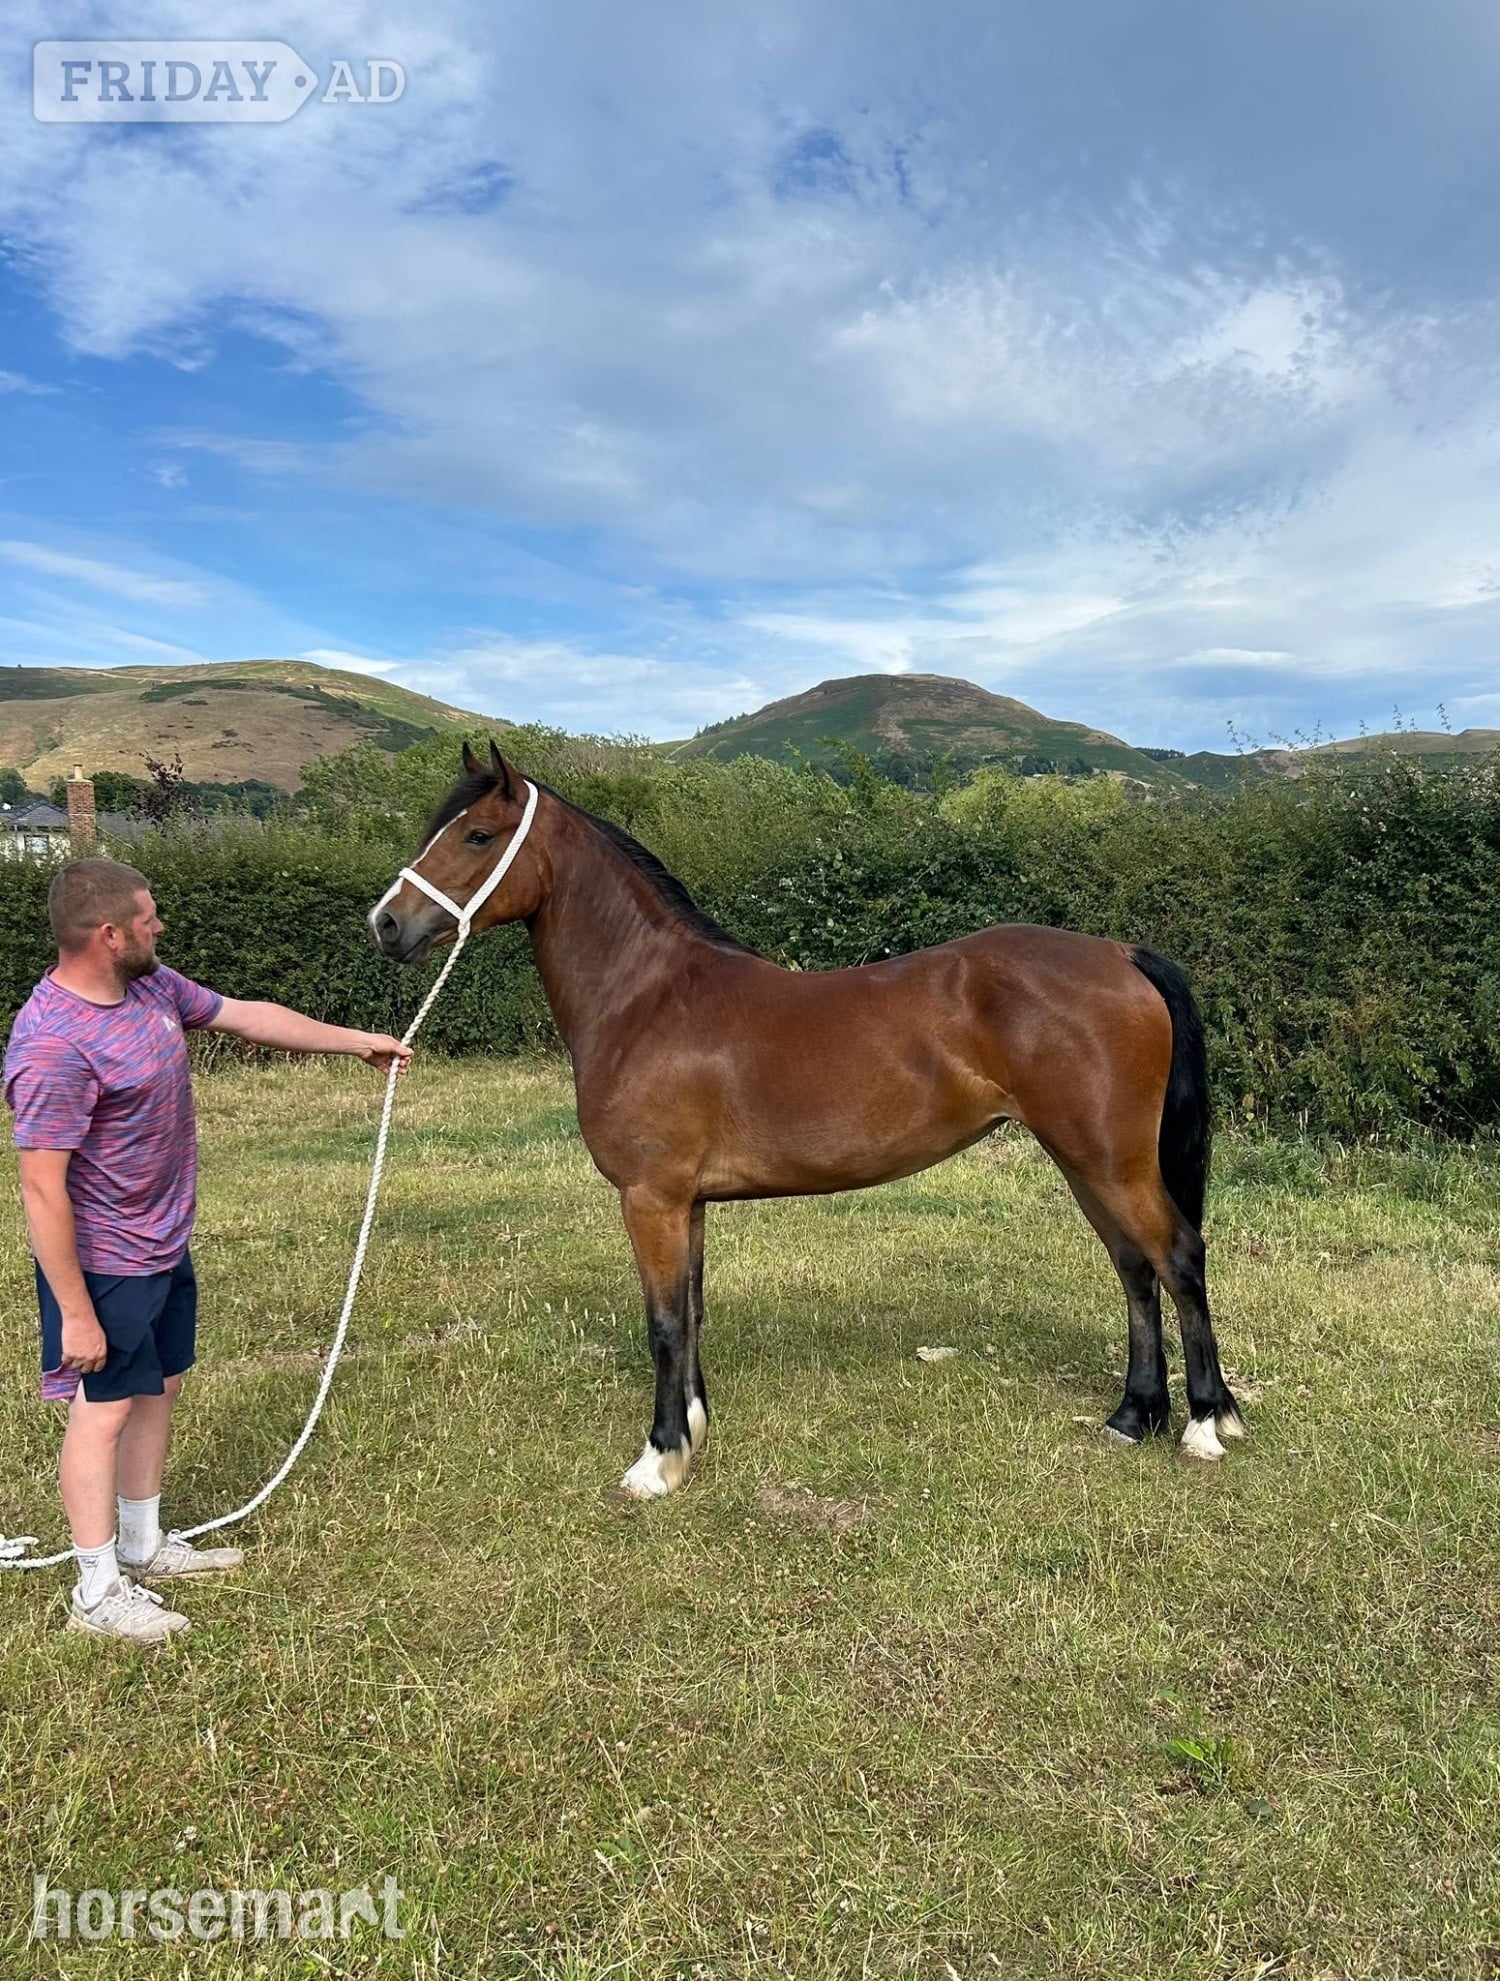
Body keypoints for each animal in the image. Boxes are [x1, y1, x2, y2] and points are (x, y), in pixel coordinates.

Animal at [369, 741, 1242, 1499]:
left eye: (477, 834)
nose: (385, 923)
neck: (648, 998)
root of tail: (1120, 953)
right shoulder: (687, 1202)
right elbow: (692, 1310)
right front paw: (693, 1432)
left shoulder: (650, 1197)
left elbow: (662, 1323)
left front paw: (657, 1461)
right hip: (1084, 1159)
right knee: (1133, 1267)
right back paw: (1132, 1415)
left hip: (1110, 1160)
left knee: (1178, 1257)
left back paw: (1205, 1423)